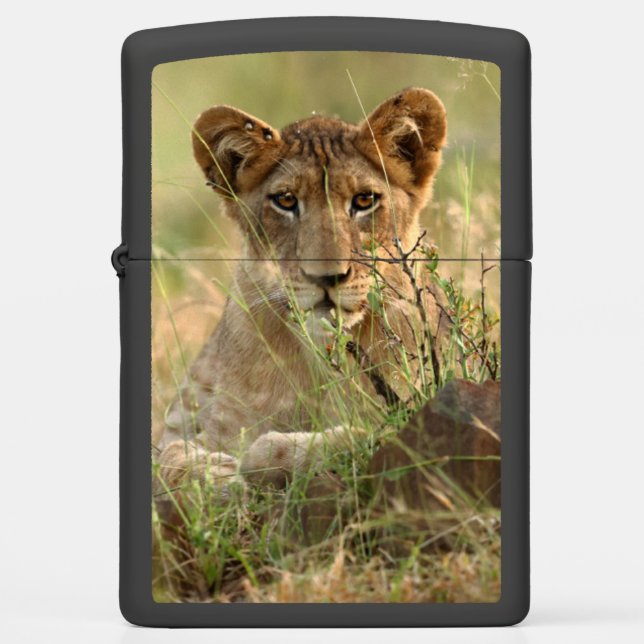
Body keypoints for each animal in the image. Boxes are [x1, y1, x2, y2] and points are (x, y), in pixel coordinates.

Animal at [155, 87, 448, 497]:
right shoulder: (200, 426)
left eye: (364, 201)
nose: (326, 278)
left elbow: (362, 435)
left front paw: (260, 457)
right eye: (286, 201)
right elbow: (167, 457)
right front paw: (216, 476)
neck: (319, 360)